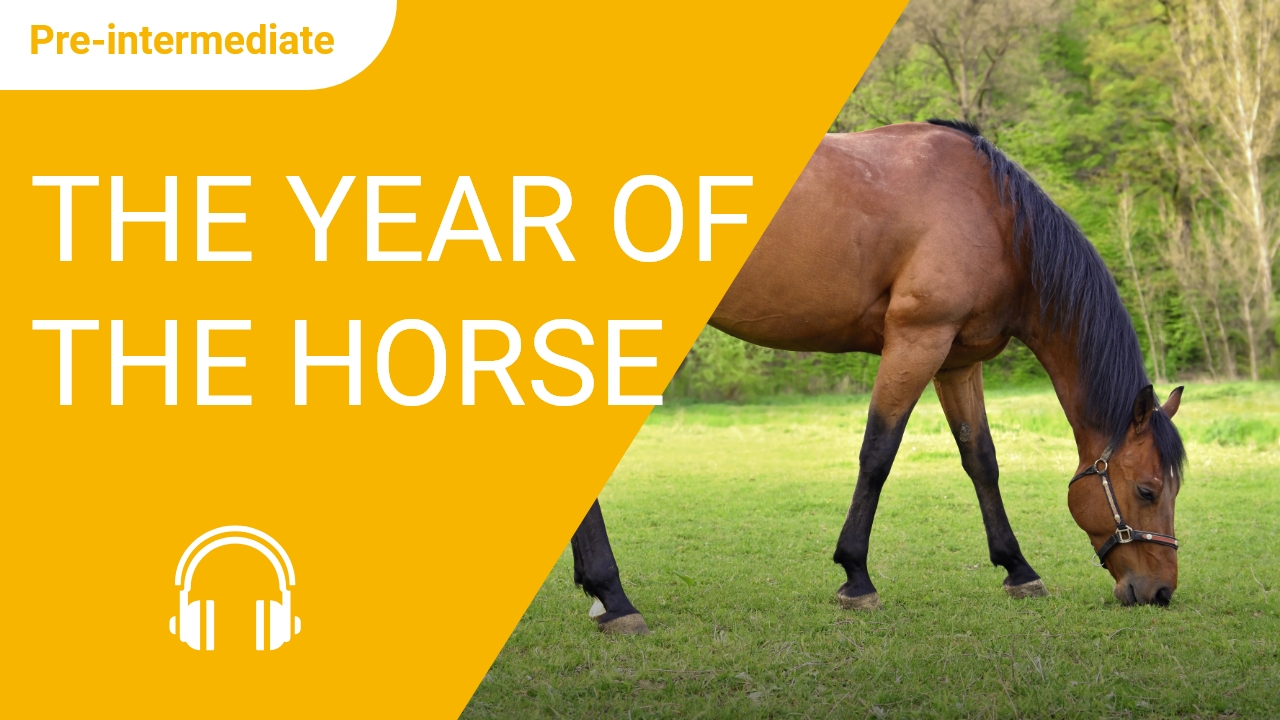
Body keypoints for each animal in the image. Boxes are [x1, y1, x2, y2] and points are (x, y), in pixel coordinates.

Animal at [572, 120, 1187, 635]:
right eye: (1147, 489)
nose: (1160, 592)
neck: (996, 215)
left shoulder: (957, 360)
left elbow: (981, 460)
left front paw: (1018, 568)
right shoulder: (917, 340)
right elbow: (878, 454)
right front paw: (856, 577)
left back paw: (601, 596)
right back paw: (615, 598)